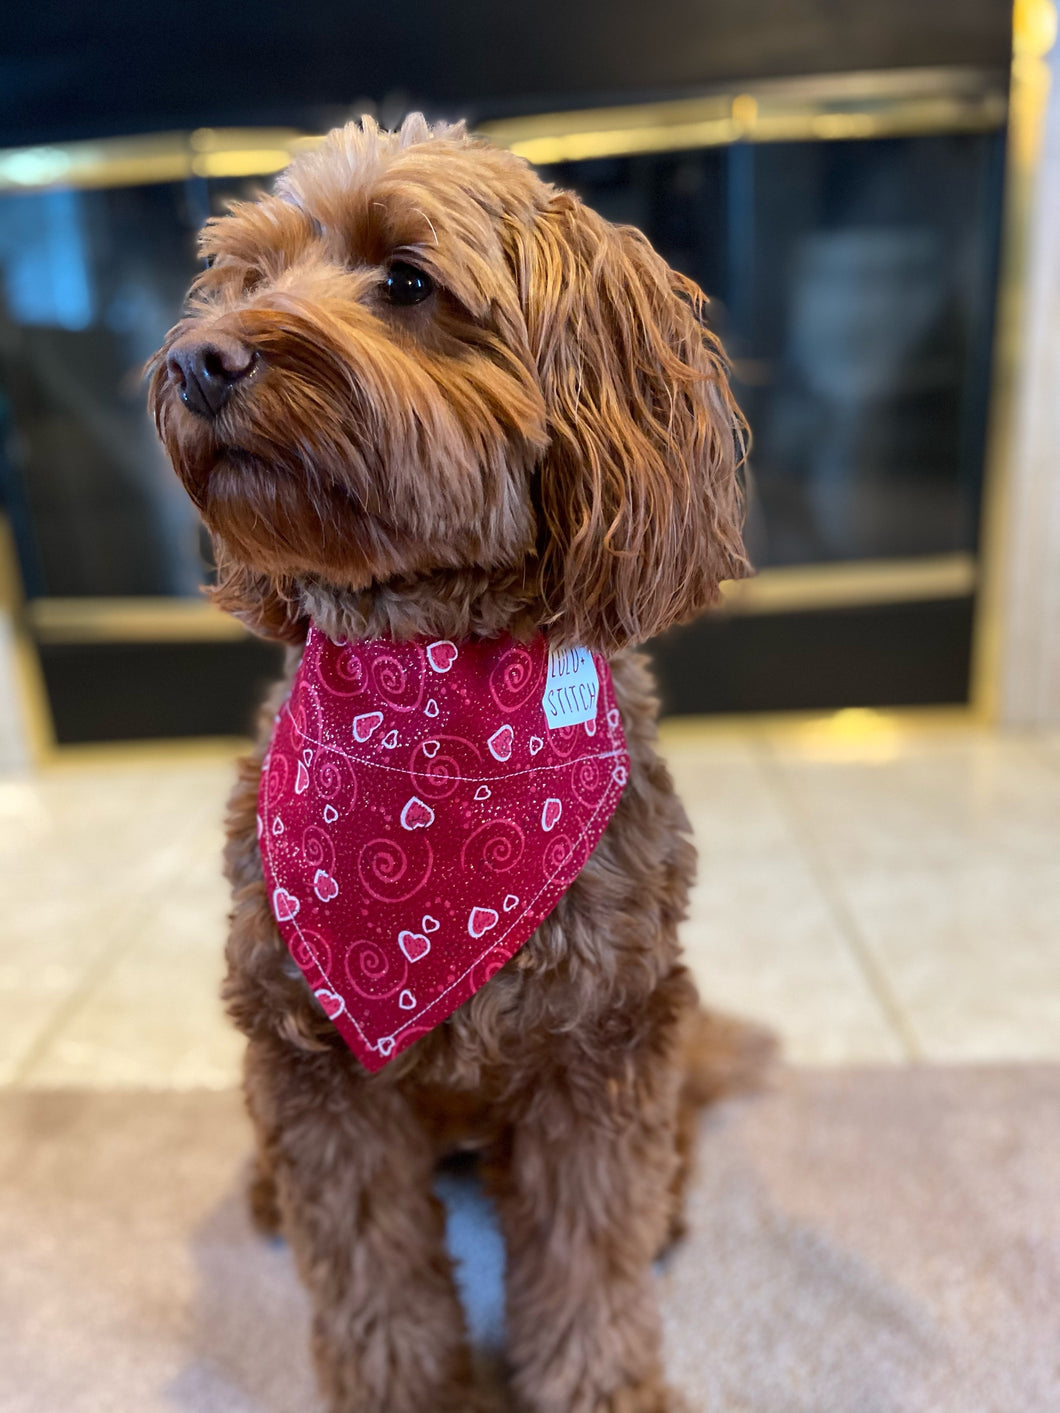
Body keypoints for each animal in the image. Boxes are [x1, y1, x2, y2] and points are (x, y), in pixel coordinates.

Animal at [149, 118, 774, 1413]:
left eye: (405, 281)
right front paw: (407, 1390)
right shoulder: (316, 1064)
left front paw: (599, 1385)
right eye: (244, 279)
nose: (198, 361)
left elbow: (589, 1259)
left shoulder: (600, 1047)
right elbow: (369, 1269)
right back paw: (263, 1192)